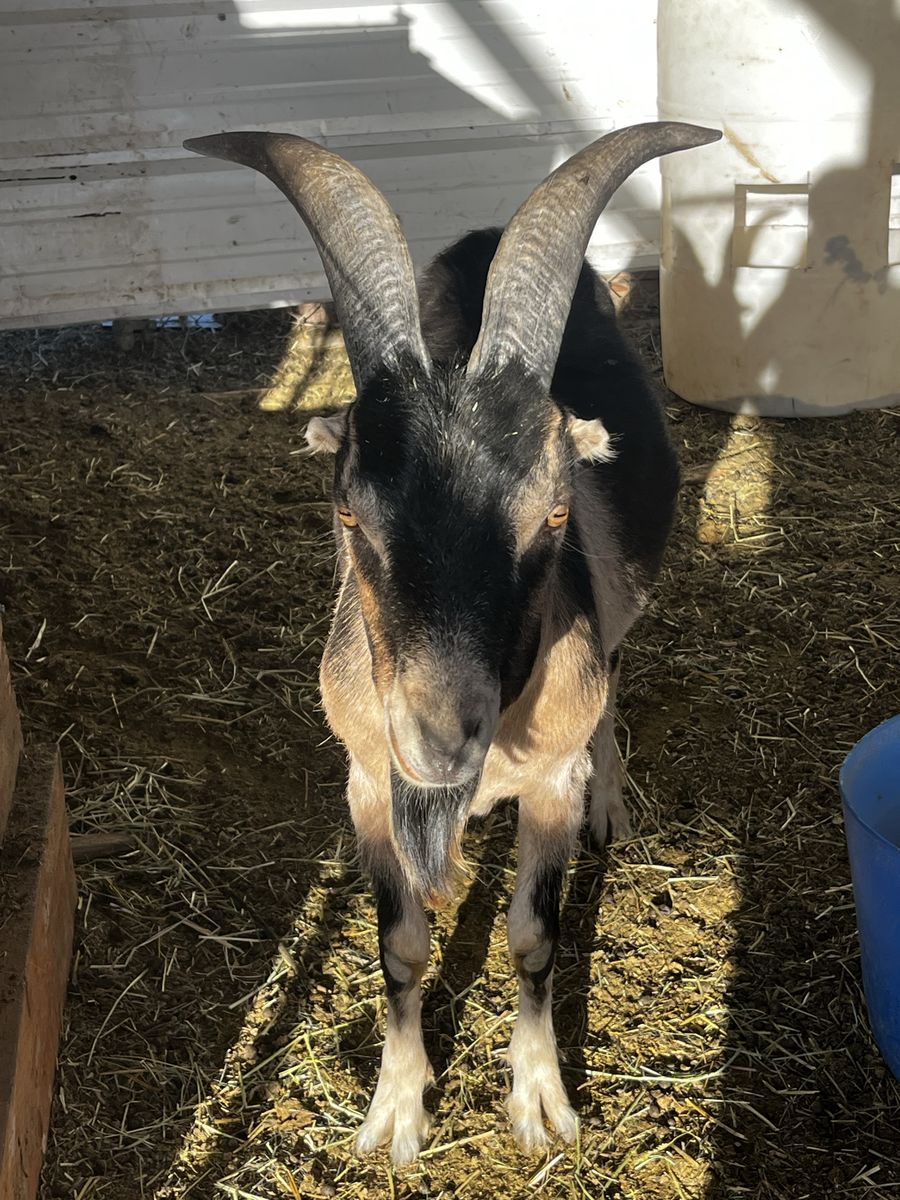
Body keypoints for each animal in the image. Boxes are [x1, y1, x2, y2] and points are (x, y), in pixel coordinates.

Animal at [185, 122, 721, 1163]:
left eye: (552, 513)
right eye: (349, 513)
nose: (437, 740)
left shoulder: (547, 777)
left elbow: (533, 937)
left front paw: (541, 1104)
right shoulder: (366, 780)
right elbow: (399, 943)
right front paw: (396, 1111)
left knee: (616, 682)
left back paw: (612, 806)